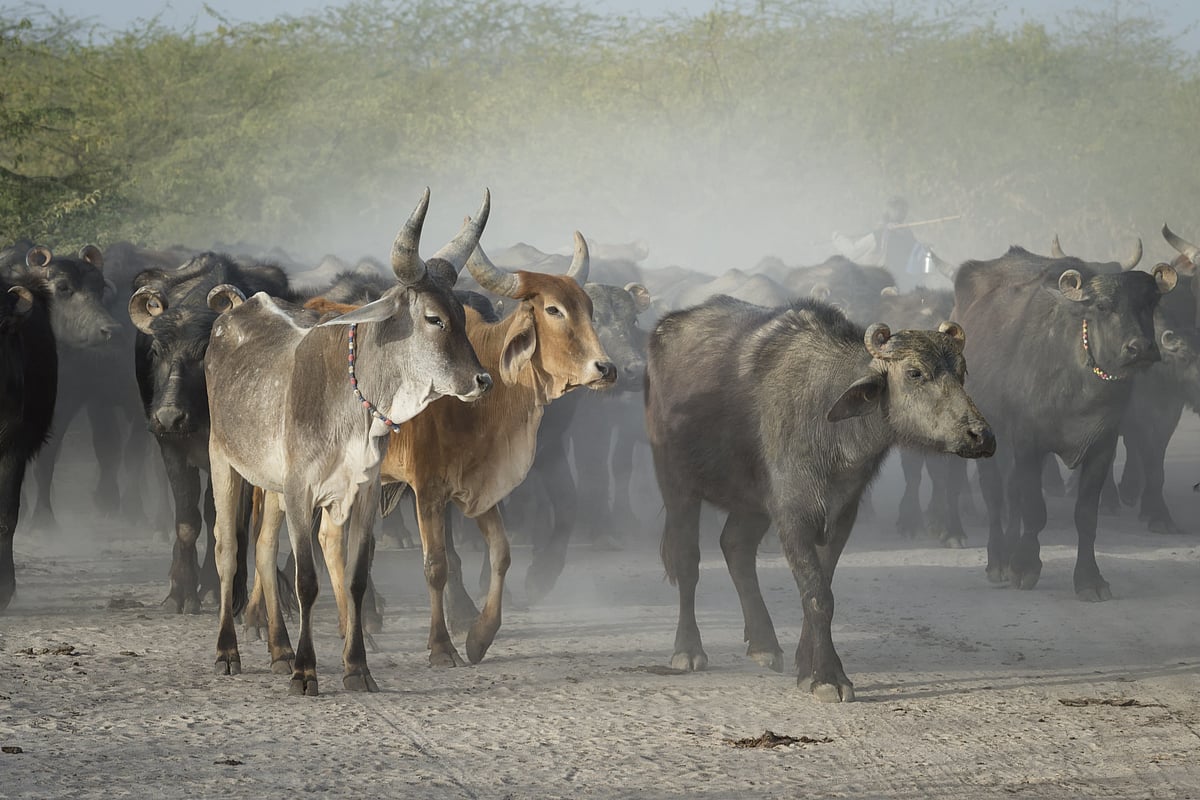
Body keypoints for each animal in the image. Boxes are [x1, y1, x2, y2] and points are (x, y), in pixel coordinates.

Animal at [129, 251, 292, 613]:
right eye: (156, 352)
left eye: (203, 352)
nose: (169, 417)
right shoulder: (171, 448)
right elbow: (187, 521)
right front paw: (181, 592)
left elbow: (228, 520)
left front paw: (220, 590)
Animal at [205, 189, 493, 696]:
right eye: (434, 318)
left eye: (462, 315)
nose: (481, 380)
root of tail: (235, 310)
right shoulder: (301, 492)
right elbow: (306, 581)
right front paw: (306, 671)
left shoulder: (363, 492)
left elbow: (356, 577)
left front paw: (356, 667)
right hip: (223, 459)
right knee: (228, 551)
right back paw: (228, 652)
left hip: (272, 486)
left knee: (263, 551)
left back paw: (279, 651)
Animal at [646, 295, 994, 702]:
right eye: (915, 373)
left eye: (962, 372)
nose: (981, 435)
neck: (833, 433)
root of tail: (665, 328)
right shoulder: (792, 515)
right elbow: (816, 595)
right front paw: (828, 676)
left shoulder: (842, 514)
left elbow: (823, 586)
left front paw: (806, 664)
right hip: (676, 484)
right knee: (687, 560)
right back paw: (688, 649)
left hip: (751, 501)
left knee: (735, 547)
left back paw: (764, 644)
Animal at [951, 247, 1175, 599]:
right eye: (1102, 306)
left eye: (1150, 303)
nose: (1140, 348)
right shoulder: (1029, 443)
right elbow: (1034, 509)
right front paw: (1025, 567)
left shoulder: (1102, 446)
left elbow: (1085, 516)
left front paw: (1089, 579)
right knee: (995, 495)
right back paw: (999, 560)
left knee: (1012, 494)